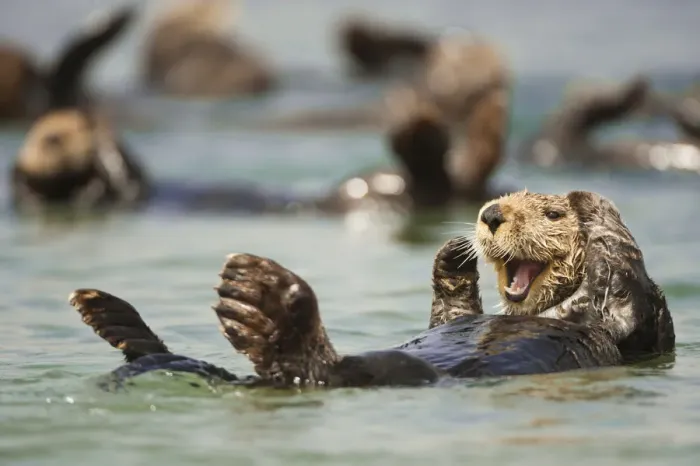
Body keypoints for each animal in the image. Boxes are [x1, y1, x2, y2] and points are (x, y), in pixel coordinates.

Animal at [68, 190, 673, 389]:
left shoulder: (624, 320)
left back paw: (261, 301)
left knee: (317, 365)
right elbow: (451, 312)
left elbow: (620, 279)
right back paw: (111, 315)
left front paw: (591, 209)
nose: (491, 214)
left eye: (548, 214)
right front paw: (453, 254)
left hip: (387, 371)